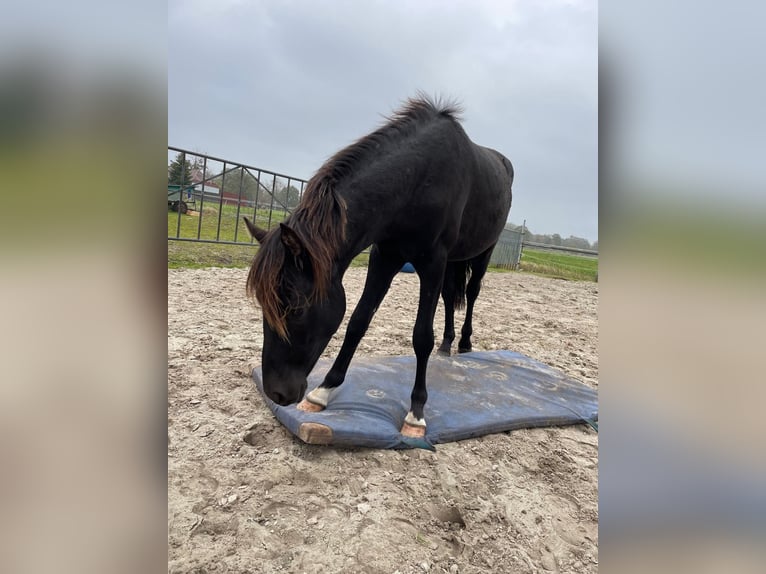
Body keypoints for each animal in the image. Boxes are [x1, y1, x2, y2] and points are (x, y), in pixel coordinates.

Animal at [243, 94, 512, 438]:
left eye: (297, 309)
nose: (277, 393)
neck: (417, 179)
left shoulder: (432, 262)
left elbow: (421, 336)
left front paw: (416, 413)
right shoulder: (384, 257)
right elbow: (358, 321)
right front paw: (324, 391)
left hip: (482, 254)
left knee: (473, 293)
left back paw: (464, 343)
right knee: (451, 297)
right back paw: (447, 344)